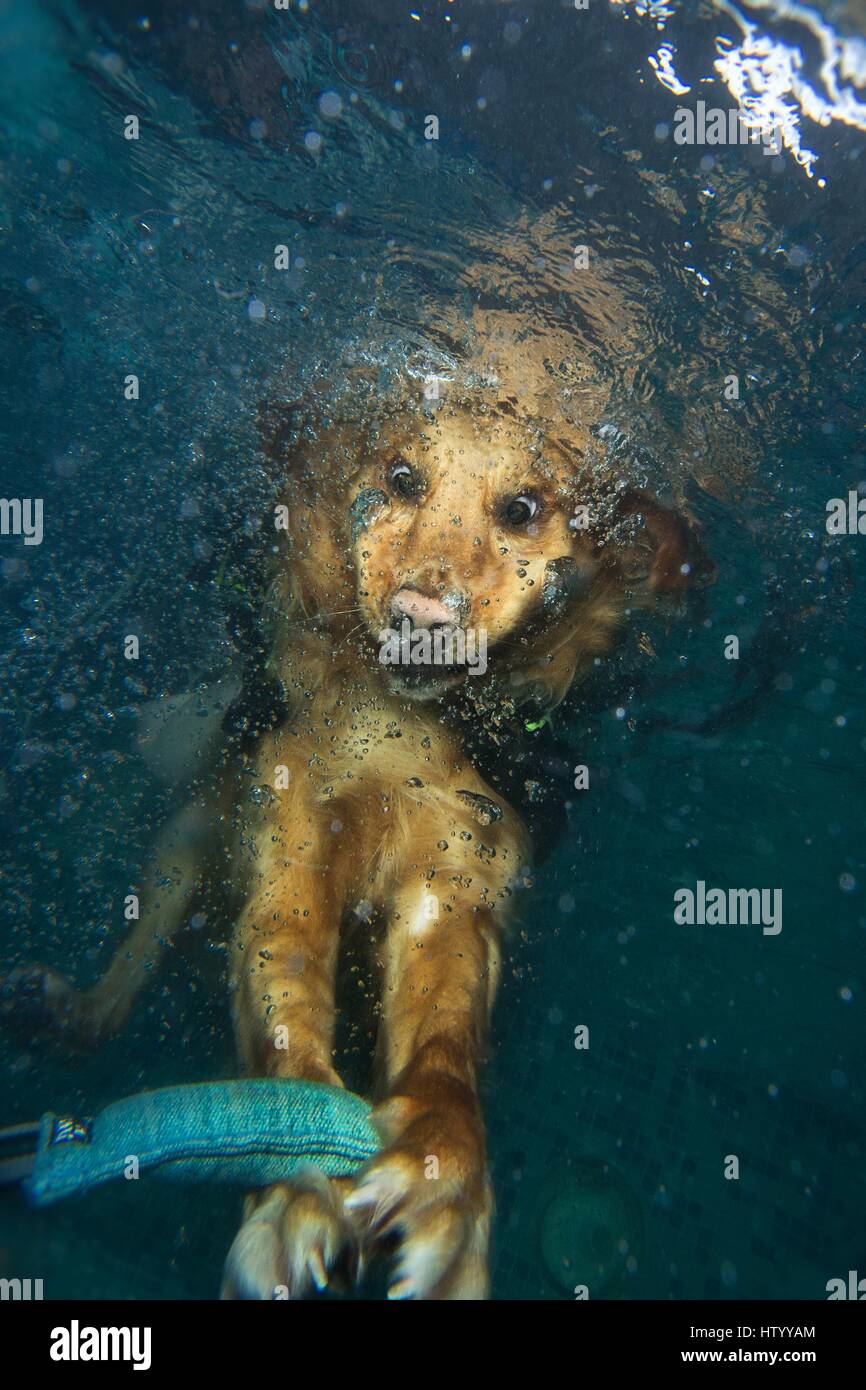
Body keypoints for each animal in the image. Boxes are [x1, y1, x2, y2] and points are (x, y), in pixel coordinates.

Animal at [3, 350, 711, 1301]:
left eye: (522, 509)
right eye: (401, 479)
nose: (422, 618)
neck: (401, 738)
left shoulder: (455, 883)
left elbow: (443, 1052)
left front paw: (446, 1183)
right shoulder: (292, 851)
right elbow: (288, 1015)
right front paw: (294, 1180)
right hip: (179, 857)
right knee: (111, 1002)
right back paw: (64, 1009)